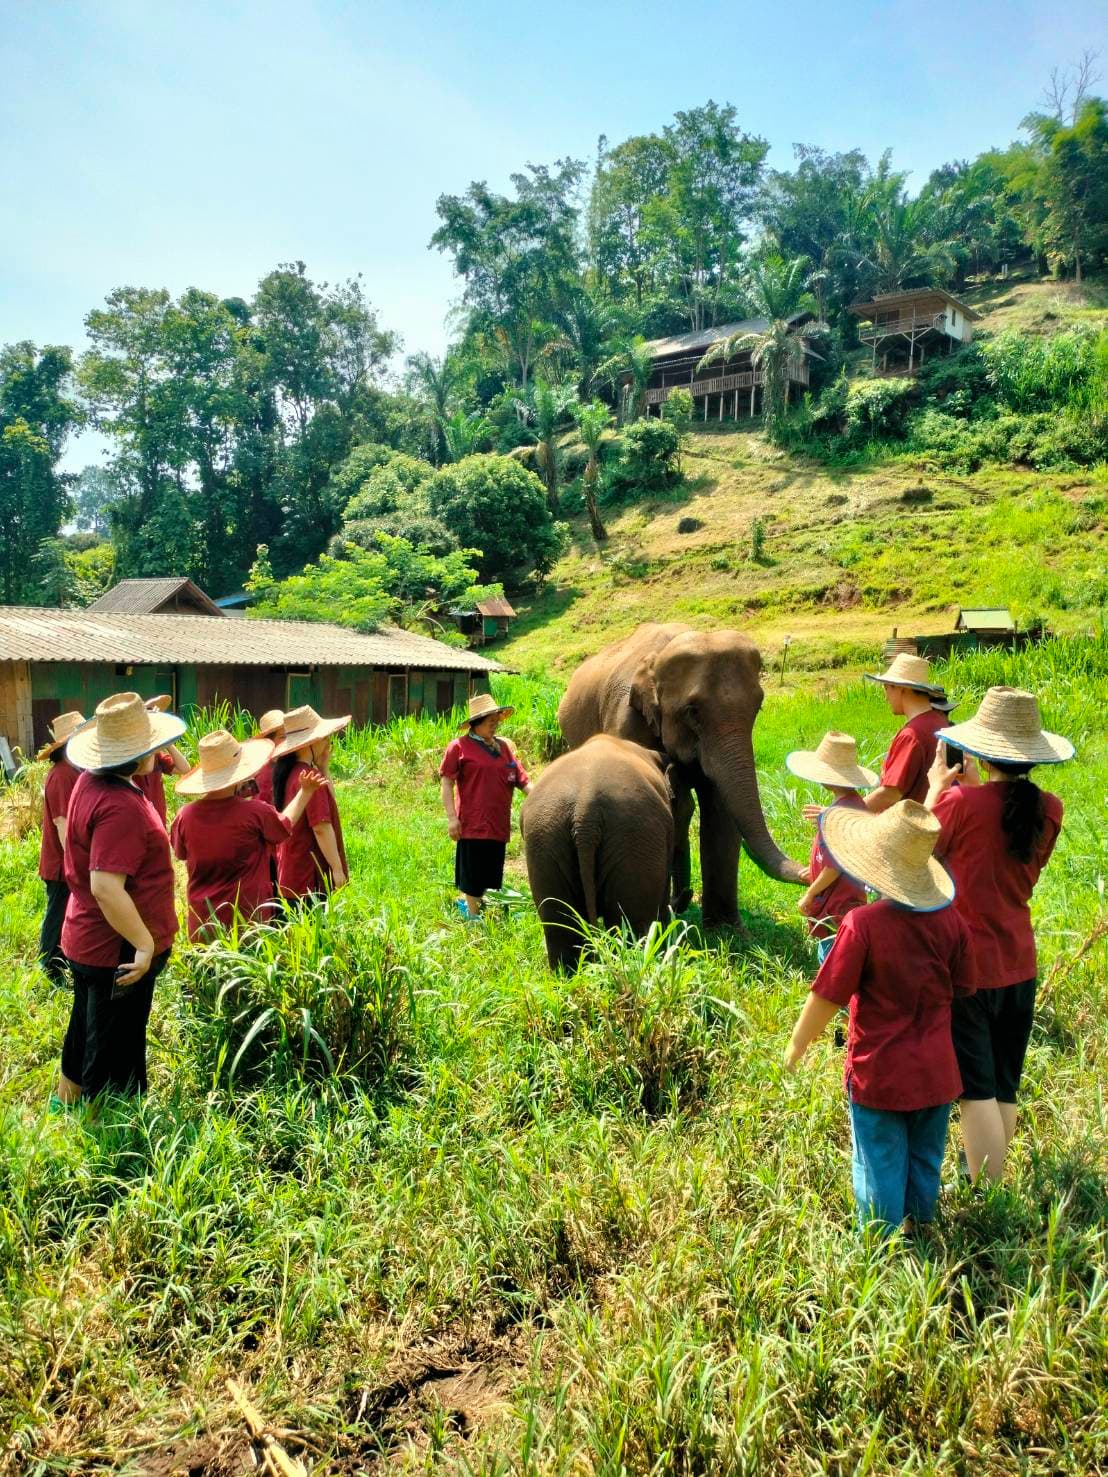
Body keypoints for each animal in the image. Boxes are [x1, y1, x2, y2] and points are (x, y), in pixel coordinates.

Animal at [557, 622, 805, 926]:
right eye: (692, 711)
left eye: (758, 706)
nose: (808, 872)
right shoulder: (625, 720)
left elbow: (720, 810)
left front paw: (727, 930)